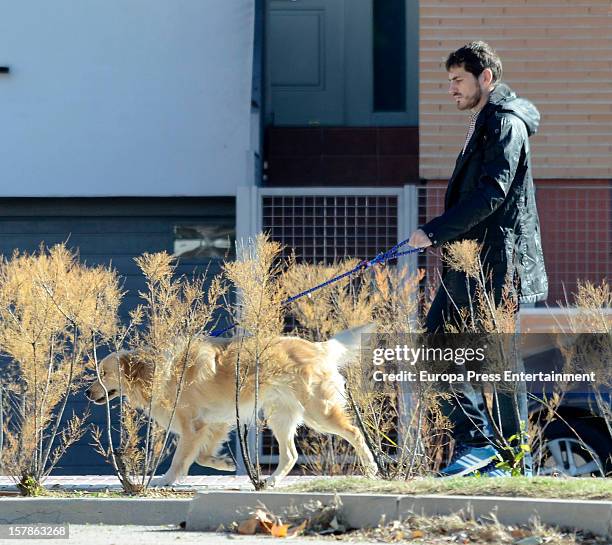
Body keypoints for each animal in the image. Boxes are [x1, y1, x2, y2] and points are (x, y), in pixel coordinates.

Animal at [83, 326, 376, 486]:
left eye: (103, 374)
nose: (87, 393)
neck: (156, 372)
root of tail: (317, 347)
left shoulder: (193, 427)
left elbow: (180, 459)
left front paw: (165, 480)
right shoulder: (215, 423)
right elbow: (201, 456)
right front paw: (223, 463)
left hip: (319, 412)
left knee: (355, 433)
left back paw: (372, 468)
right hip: (280, 417)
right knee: (291, 455)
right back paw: (270, 481)